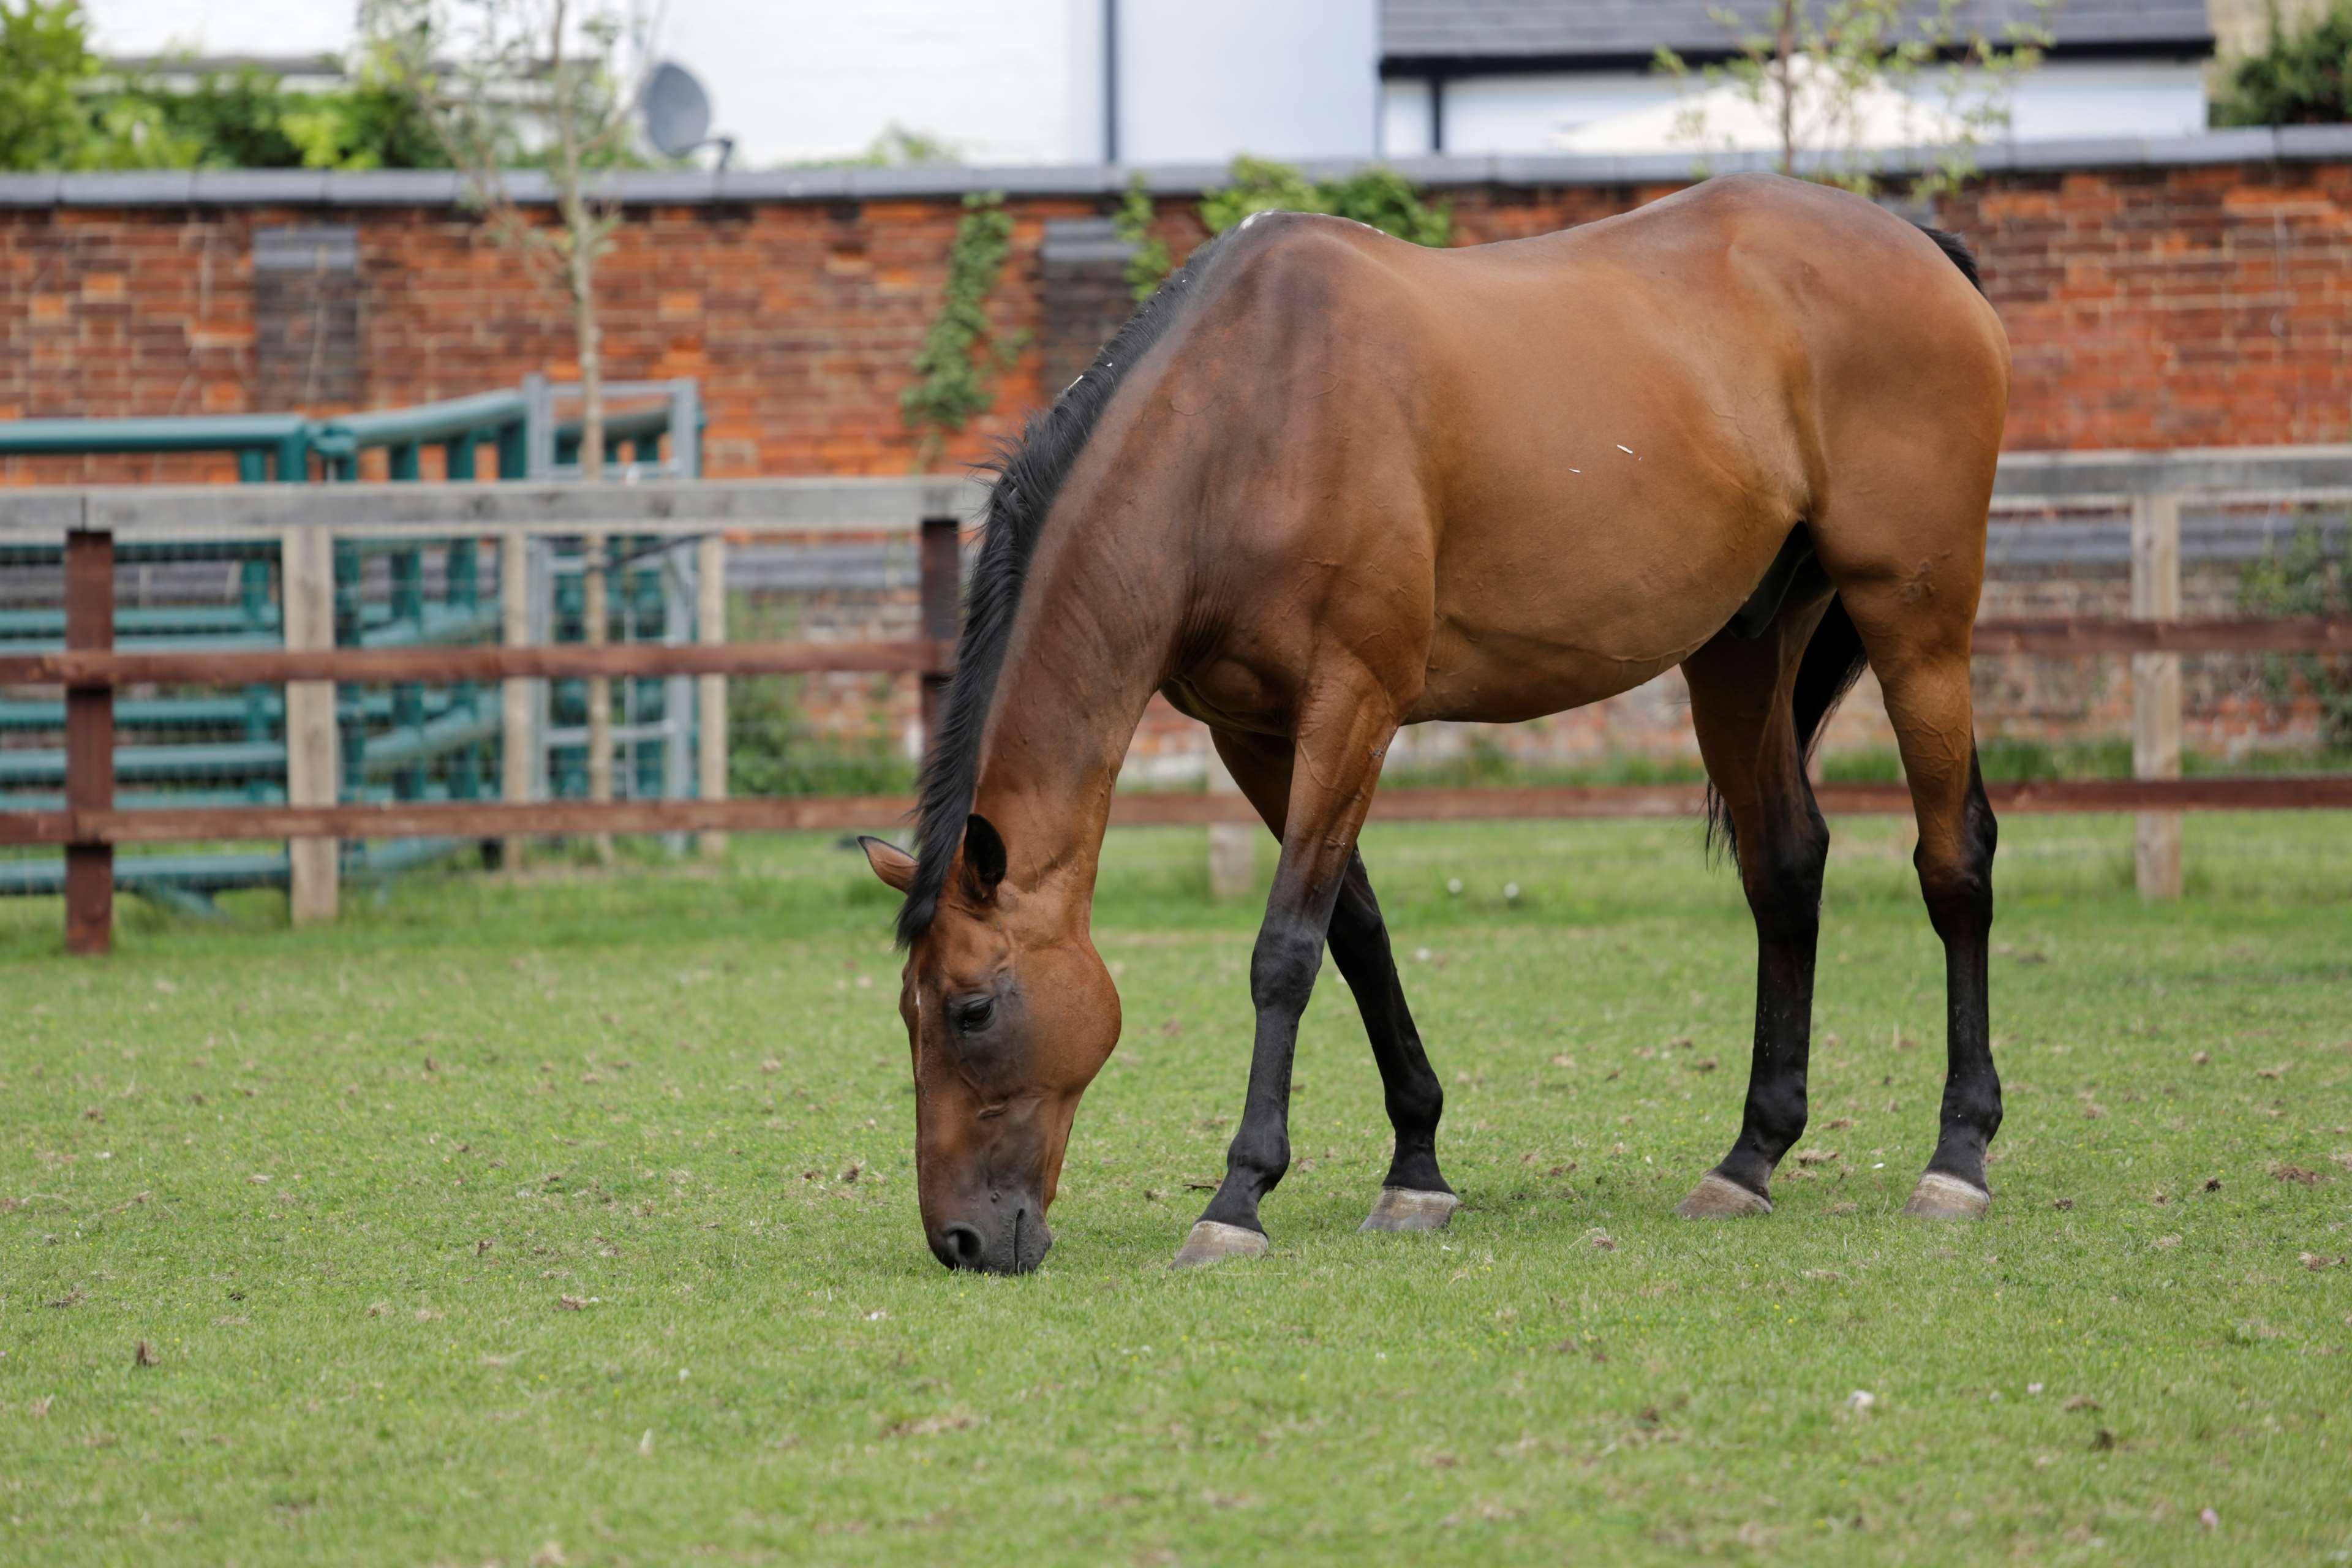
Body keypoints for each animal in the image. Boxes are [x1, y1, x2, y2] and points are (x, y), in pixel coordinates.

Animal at [861, 172, 2003, 1278]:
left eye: (972, 1009)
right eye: (907, 1013)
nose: (960, 1242)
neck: (1245, 423)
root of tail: (1918, 248)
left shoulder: (1353, 703)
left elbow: (1287, 948)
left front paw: (1237, 1200)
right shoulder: (1256, 735)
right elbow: (1357, 934)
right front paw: (1415, 1173)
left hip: (1916, 624)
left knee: (1954, 860)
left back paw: (1957, 1160)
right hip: (1741, 651)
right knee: (1786, 866)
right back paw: (1749, 1159)